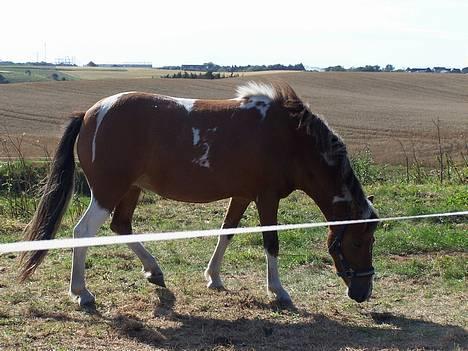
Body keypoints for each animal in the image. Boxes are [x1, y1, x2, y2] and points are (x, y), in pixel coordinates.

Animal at [20, 82, 378, 308]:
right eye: (359, 242)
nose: (363, 293)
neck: (291, 138)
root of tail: (89, 114)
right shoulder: (267, 197)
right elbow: (271, 241)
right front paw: (278, 291)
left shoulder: (243, 195)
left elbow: (227, 232)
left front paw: (213, 277)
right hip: (108, 192)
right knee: (83, 231)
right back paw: (81, 292)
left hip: (130, 190)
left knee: (121, 226)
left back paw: (153, 270)